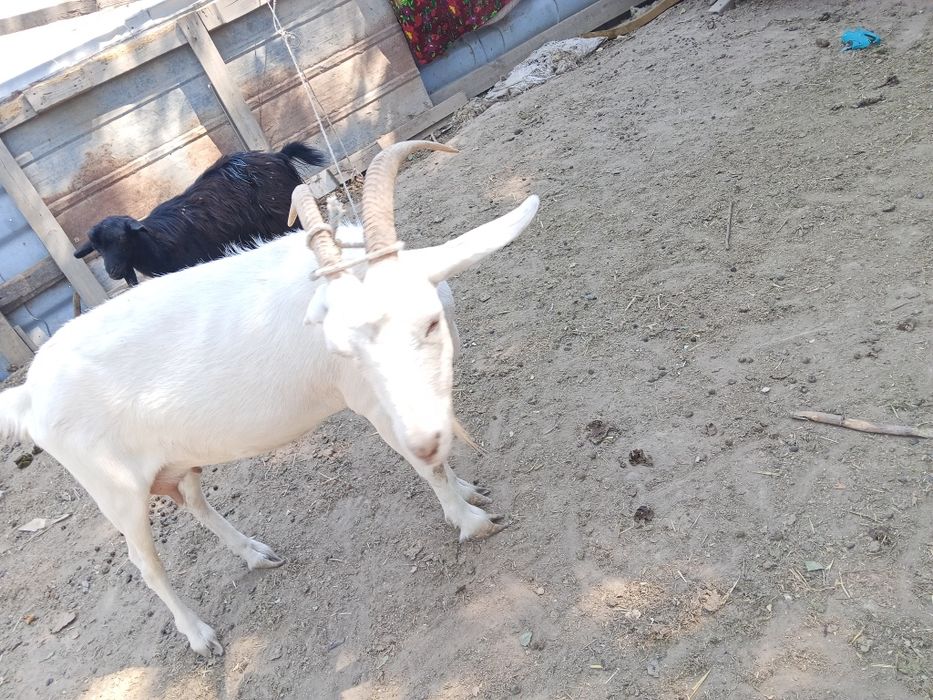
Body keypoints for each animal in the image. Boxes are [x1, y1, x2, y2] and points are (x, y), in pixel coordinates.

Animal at [73, 142, 328, 286]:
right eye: (97, 248)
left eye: (123, 239)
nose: (113, 272)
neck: (156, 243)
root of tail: (279, 155)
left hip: (284, 218)